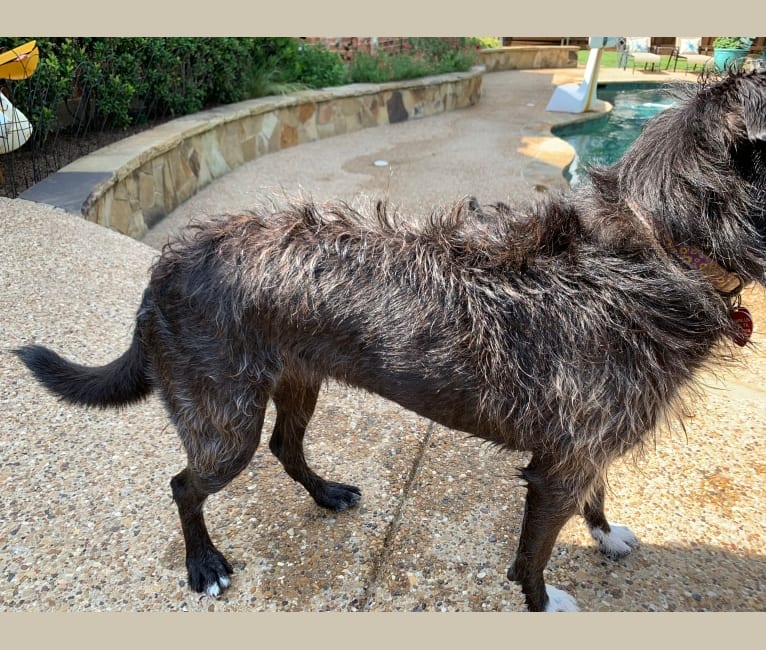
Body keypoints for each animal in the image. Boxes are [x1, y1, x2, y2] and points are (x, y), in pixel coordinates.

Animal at [15, 68, 766, 612]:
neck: (657, 244)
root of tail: (162, 270)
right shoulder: (561, 464)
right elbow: (534, 553)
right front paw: (542, 603)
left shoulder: (589, 445)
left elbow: (598, 493)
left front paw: (606, 536)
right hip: (223, 418)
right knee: (184, 484)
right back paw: (204, 565)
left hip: (297, 380)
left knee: (285, 447)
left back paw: (324, 495)